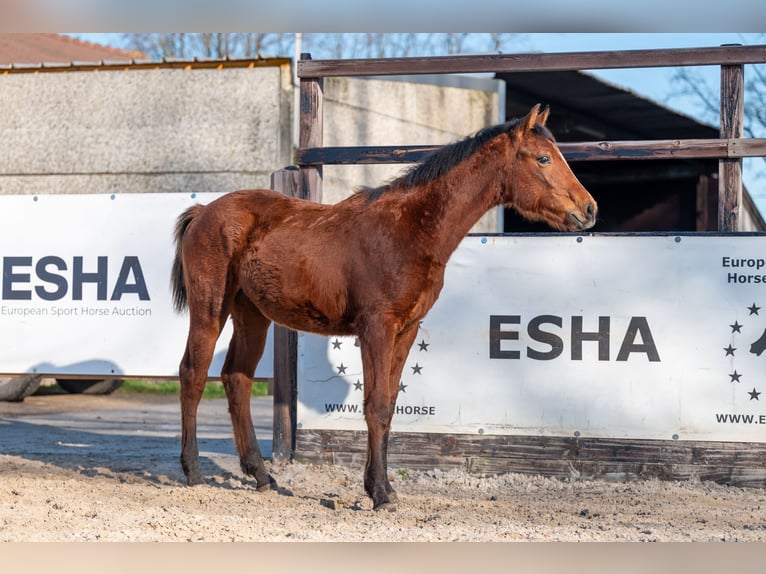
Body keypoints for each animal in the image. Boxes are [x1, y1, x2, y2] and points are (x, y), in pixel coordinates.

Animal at [171, 104, 597, 511]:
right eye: (543, 158)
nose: (589, 209)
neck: (411, 229)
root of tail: (204, 211)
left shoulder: (407, 329)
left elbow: (390, 406)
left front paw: (386, 487)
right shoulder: (376, 328)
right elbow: (374, 405)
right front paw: (378, 493)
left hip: (252, 313)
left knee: (236, 377)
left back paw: (261, 475)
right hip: (211, 308)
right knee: (193, 373)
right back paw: (192, 470)